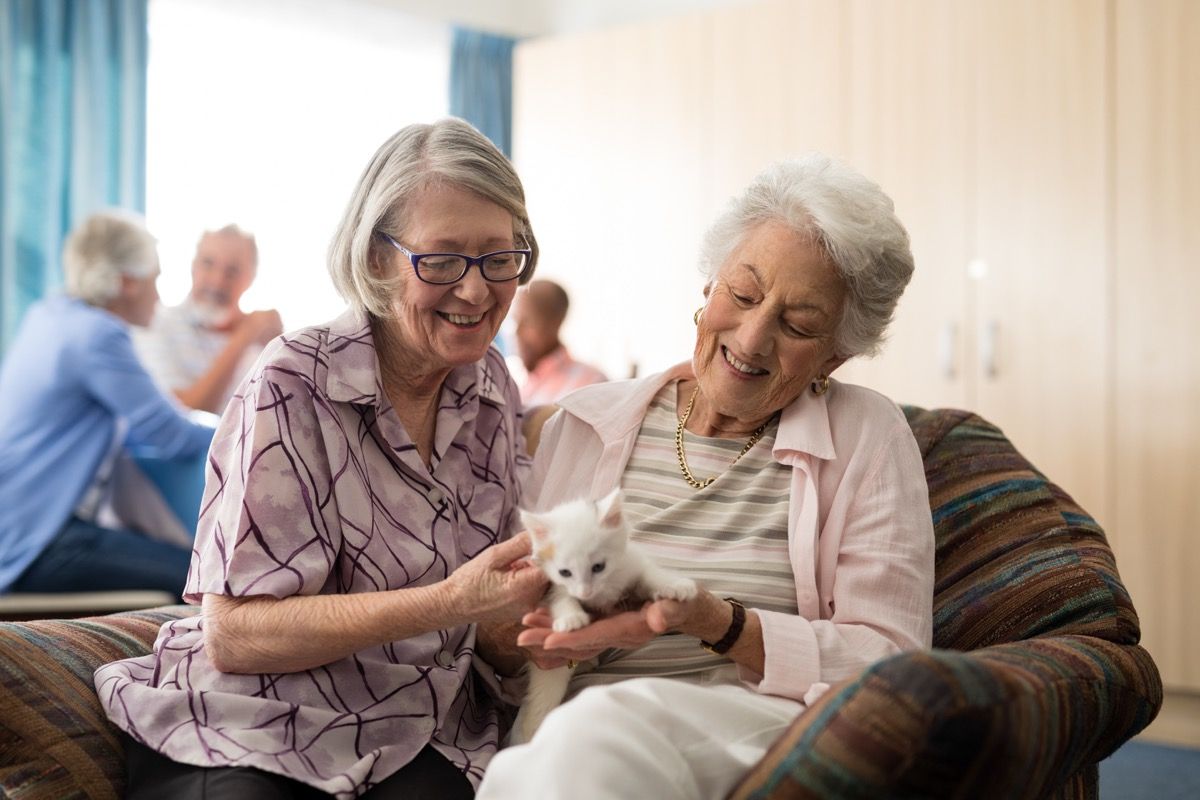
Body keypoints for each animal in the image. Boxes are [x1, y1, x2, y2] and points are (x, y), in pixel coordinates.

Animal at [504, 489, 696, 743]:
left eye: (598, 567)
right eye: (565, 572)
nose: (585, 592)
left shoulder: (631, 563)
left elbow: (650, 574)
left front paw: (676, 585)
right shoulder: (552, 589)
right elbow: (562, 600)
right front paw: (571, 618)